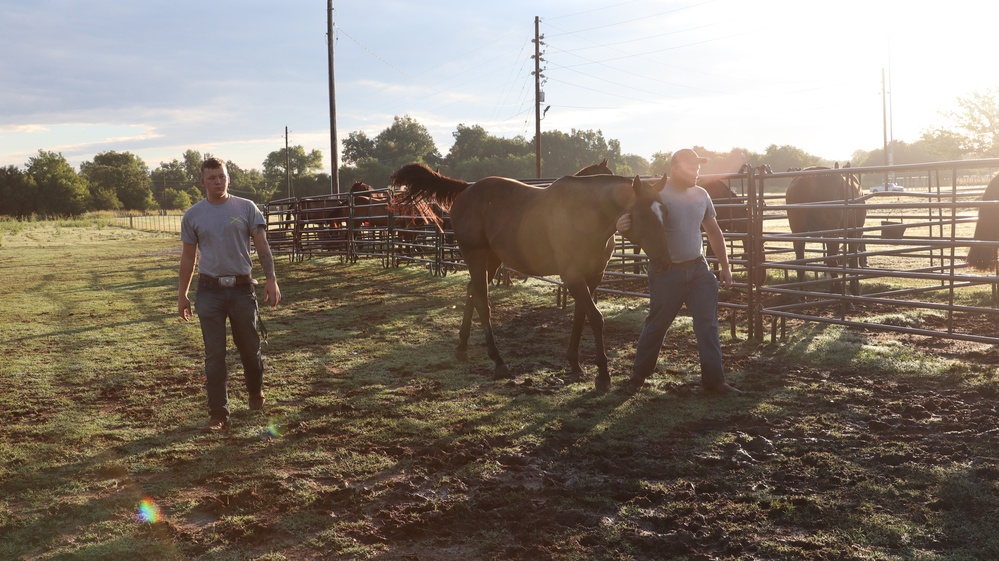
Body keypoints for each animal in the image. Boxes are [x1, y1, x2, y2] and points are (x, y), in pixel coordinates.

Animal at [390, 162, 672, 392]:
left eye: (666, 213)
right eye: (644, 215)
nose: (665, 261)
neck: (587, 214)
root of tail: (467, 189)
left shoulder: (593, 276)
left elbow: (581, 316)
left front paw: (575, 363)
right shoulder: (573, 276)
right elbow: (595, 318)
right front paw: (602, 375)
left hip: (492, 260)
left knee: (472, 291)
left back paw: (462, 347)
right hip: (475, 257)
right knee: (482, 301)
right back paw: (499, 362)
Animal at [788, 164, 868, 296]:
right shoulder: (854, 232)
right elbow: (852, 260)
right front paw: (854, 289)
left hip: (798, 231)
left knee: (801, 261)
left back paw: (802, 296)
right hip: (832, 232)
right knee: (832, 261)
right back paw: (841, 293)